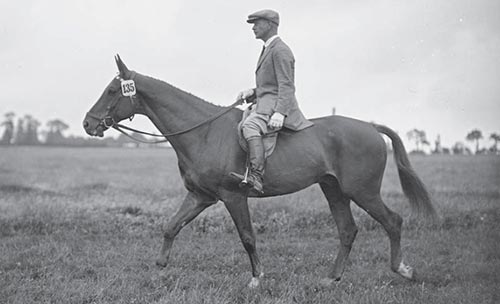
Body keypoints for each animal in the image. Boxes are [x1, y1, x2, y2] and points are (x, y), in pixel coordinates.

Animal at [84, 56, 436, 288]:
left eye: (112, 91)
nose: (88, 123)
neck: (204, 132)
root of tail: (371, 127)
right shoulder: (201, 196)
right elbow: (171, 226)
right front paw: (160, 267)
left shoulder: (232, 197)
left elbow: (247, 236)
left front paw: (257, 278)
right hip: (333, 189)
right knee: (348, 230)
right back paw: (332, 278)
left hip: (361, 191)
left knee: (392, 221)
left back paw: (404, 270)